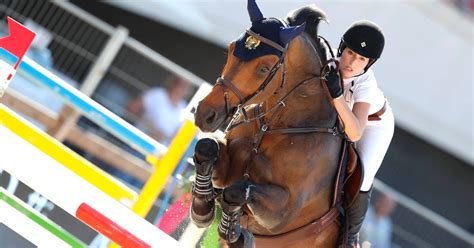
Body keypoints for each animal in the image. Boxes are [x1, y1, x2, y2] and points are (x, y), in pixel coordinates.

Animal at [189, 1, 348, 246]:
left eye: (264, 69)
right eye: (231, 48)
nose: (205, 114)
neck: (272, 124)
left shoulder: (283, 212)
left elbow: (237, 191)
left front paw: (234, 232)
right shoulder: (227, 168)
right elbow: (207, 147)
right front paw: (202, 208)